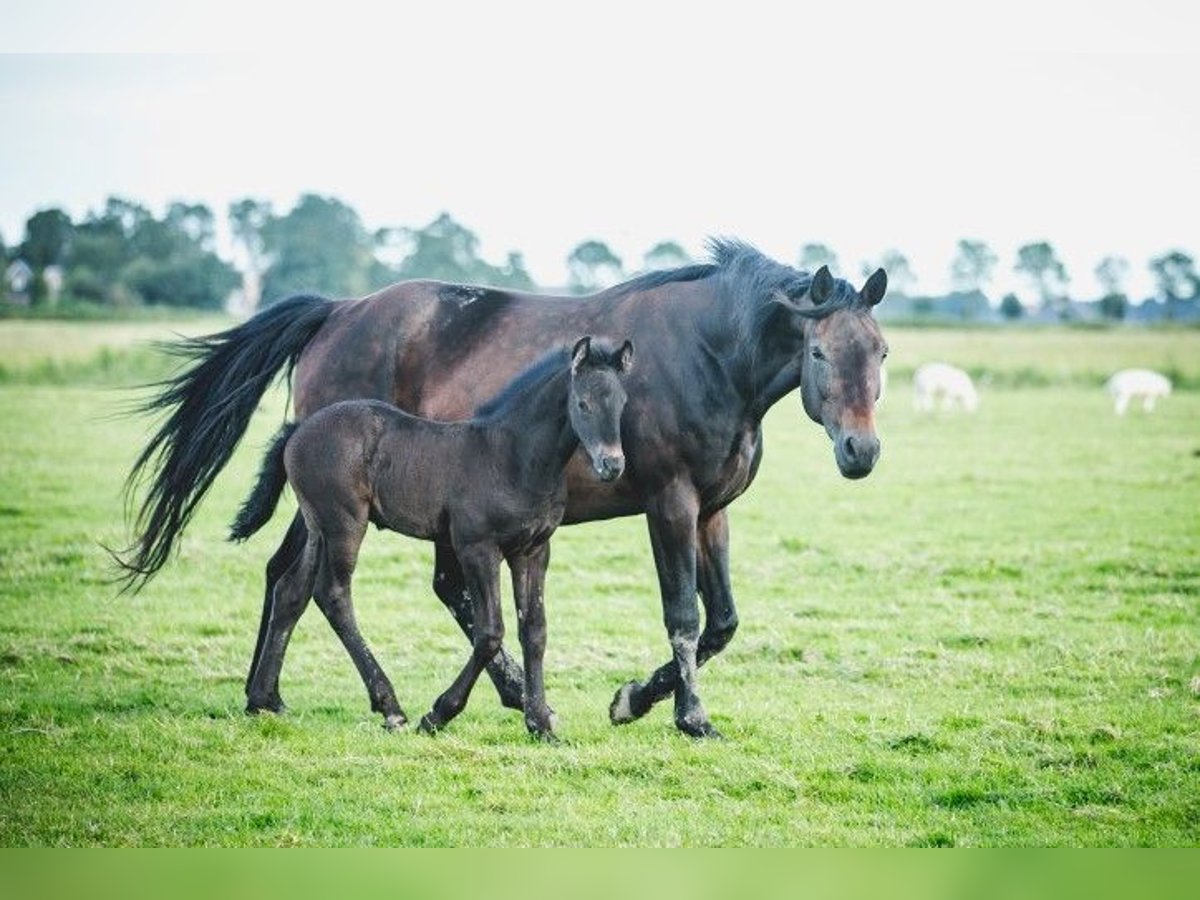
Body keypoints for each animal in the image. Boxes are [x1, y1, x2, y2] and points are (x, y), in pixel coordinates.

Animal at [228, 340, 633, 739]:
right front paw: (438, 714)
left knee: (291, 591)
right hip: (344, 524)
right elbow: (490, 632)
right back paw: (390, 708)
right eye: (583, 403)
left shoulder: (533, 550)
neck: (513, 457)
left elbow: (534, 630)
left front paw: (540, 725)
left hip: (318, 528)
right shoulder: (476, 547)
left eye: (622, 403)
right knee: (333, 595)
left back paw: (263, 700)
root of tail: (297, 431)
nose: (612, 465)